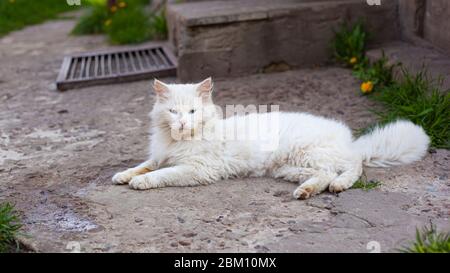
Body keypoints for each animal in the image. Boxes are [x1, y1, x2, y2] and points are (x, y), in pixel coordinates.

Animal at [111, 77, 428, 199]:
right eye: (173, 111)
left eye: (192, 111)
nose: (182, 122)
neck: (176, 140)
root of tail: (349, 138)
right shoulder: (159, 155)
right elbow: (145, 164)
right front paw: (123, 175)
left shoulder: (197, 169)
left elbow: (162, 174)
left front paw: (140, 182)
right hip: (289, 167)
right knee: (324, 174)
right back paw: (305, 191)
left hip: (308, 152)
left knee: (352, 167)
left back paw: (338, 185)